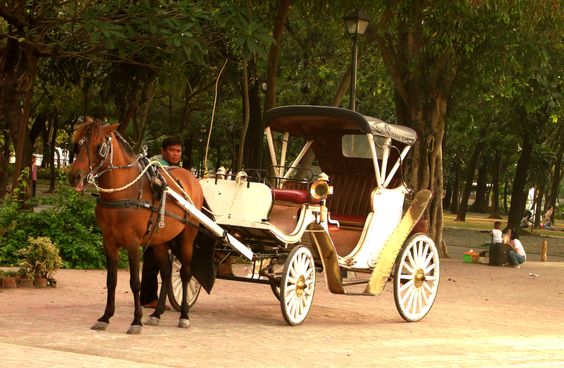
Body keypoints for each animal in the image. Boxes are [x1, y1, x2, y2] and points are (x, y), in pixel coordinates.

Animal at [68, 117, 204, 334]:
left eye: (99, 147)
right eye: (78, 144)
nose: (75, 177)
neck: (123, 193)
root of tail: (191, 176)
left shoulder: (132, 243)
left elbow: (135, 283)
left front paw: (136, 320)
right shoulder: (109, 242)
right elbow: (111, 281)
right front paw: (105, 317)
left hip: (187, 237)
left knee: (185, 274)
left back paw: (184, 315)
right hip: (159, 240)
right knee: (166, 273)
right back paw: (156, 313)